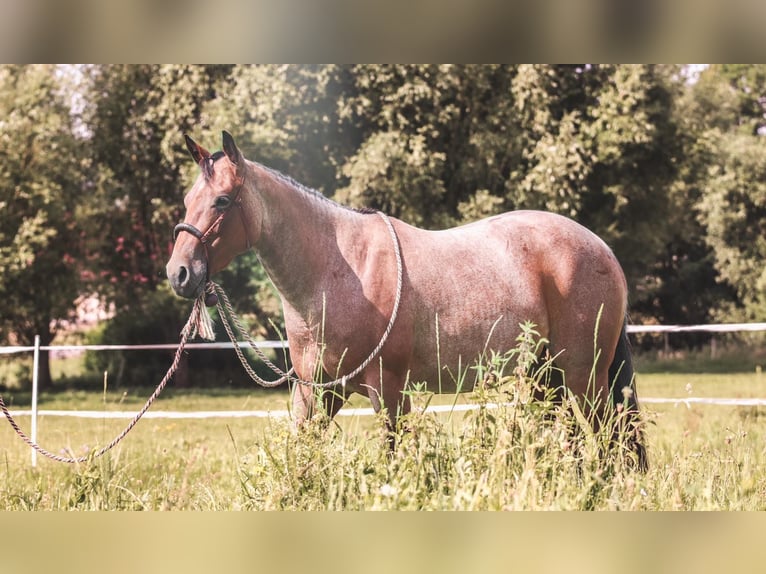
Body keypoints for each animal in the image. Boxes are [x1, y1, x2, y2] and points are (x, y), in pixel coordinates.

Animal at [166, 131, 646, 469]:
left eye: (222, 201)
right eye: (188, 199)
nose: (179, 273)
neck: (339, 270)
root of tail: (601, 248)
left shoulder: (389, 390)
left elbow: (393, 458)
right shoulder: (317, 392)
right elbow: (303, 454)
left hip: (584, 377)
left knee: (608, 439)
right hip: (549, 378)